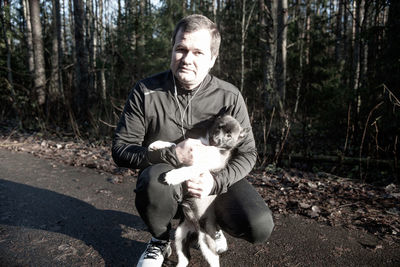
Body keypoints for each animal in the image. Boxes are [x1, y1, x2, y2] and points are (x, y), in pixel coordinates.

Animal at [148, 115, 247, 267]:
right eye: (219, 127)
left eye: (229, 135)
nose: (216, 139)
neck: (209, 146)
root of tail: (195, 228)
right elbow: (173, 144)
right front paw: (156, 144)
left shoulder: (200, 167)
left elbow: (187, 169)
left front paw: (172, 176)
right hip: (180, 236)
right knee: (185, 258)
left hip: (206, 243)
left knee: (214, 259)